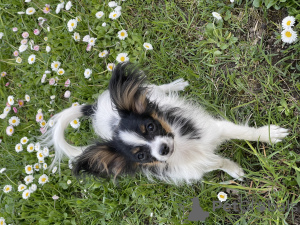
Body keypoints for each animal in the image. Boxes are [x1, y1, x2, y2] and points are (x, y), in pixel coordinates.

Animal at [41, 62, 290, 184]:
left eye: (151, 127)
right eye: (141, 156)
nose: (163, 149)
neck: (183, 147)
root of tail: (95, 109)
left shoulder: (214, 129)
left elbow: (244, 132)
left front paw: (269, 135)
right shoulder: (196, 165)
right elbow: (218, 162)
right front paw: (234, 171)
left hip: (152, 92)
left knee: (155, 89)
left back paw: (175, 85)